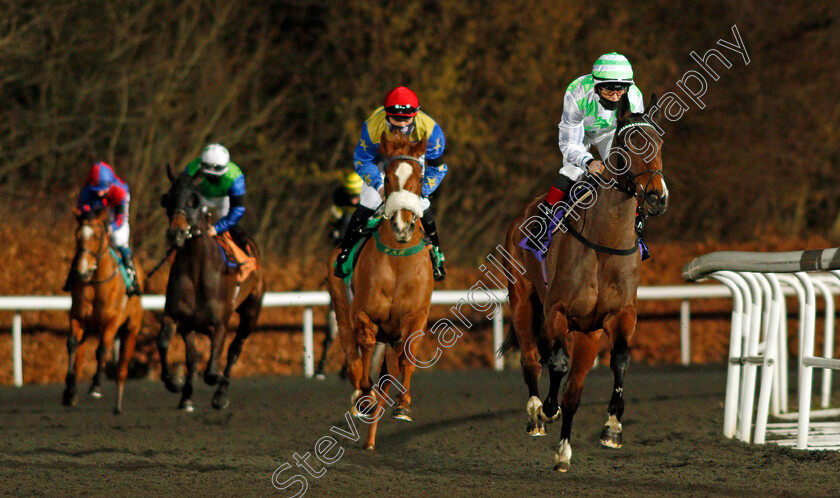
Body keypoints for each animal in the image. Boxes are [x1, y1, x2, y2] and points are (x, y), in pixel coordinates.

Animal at [63, 205, 144, 412]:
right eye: (77, 235)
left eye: (98, 236)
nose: (82, 271)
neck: (95, 283)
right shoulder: (77, 316)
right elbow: (72, 345)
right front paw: (69, 390)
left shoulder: (111, 321)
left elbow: (102, 351)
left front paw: (96, 386)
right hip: (89, 330)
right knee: (81, 356)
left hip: (131, 329)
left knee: (122, 367)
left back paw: (118, 405)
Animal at [156, 165, 264, 410]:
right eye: (168, 198)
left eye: (194, 199)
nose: (176, 233)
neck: (198, 270)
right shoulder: (178, 317)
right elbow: (168, 344)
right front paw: (176, 383)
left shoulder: (220, 323)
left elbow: (212, 371)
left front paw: (216, 382)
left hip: (251, 312)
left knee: (235, 350)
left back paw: (221, 394)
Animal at [326, 132, 434, 452]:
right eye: (387, 177)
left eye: (420, 178)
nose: (402, 224)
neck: (398, 259)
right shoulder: (363, 314)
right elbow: (363, 354)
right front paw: (364, 396)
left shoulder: (415, 317)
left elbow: (408, 356)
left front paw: (403, 405)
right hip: (340, 309)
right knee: (353, 358)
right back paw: (362, 401)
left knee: (388, 374)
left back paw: (372, 435)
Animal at [498, 93, 668, 470]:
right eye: (628, 144)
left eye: (660, 143)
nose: (656, 197)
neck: (605, 242)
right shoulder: (557, 310)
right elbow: (557, 363)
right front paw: (548, 409)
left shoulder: (620, 315)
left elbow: (619, 360)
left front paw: (612, 427)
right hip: (522, 297)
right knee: (531, 357)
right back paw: (536, 413)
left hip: (588, 332)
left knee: (574, 387)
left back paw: (563, 449)